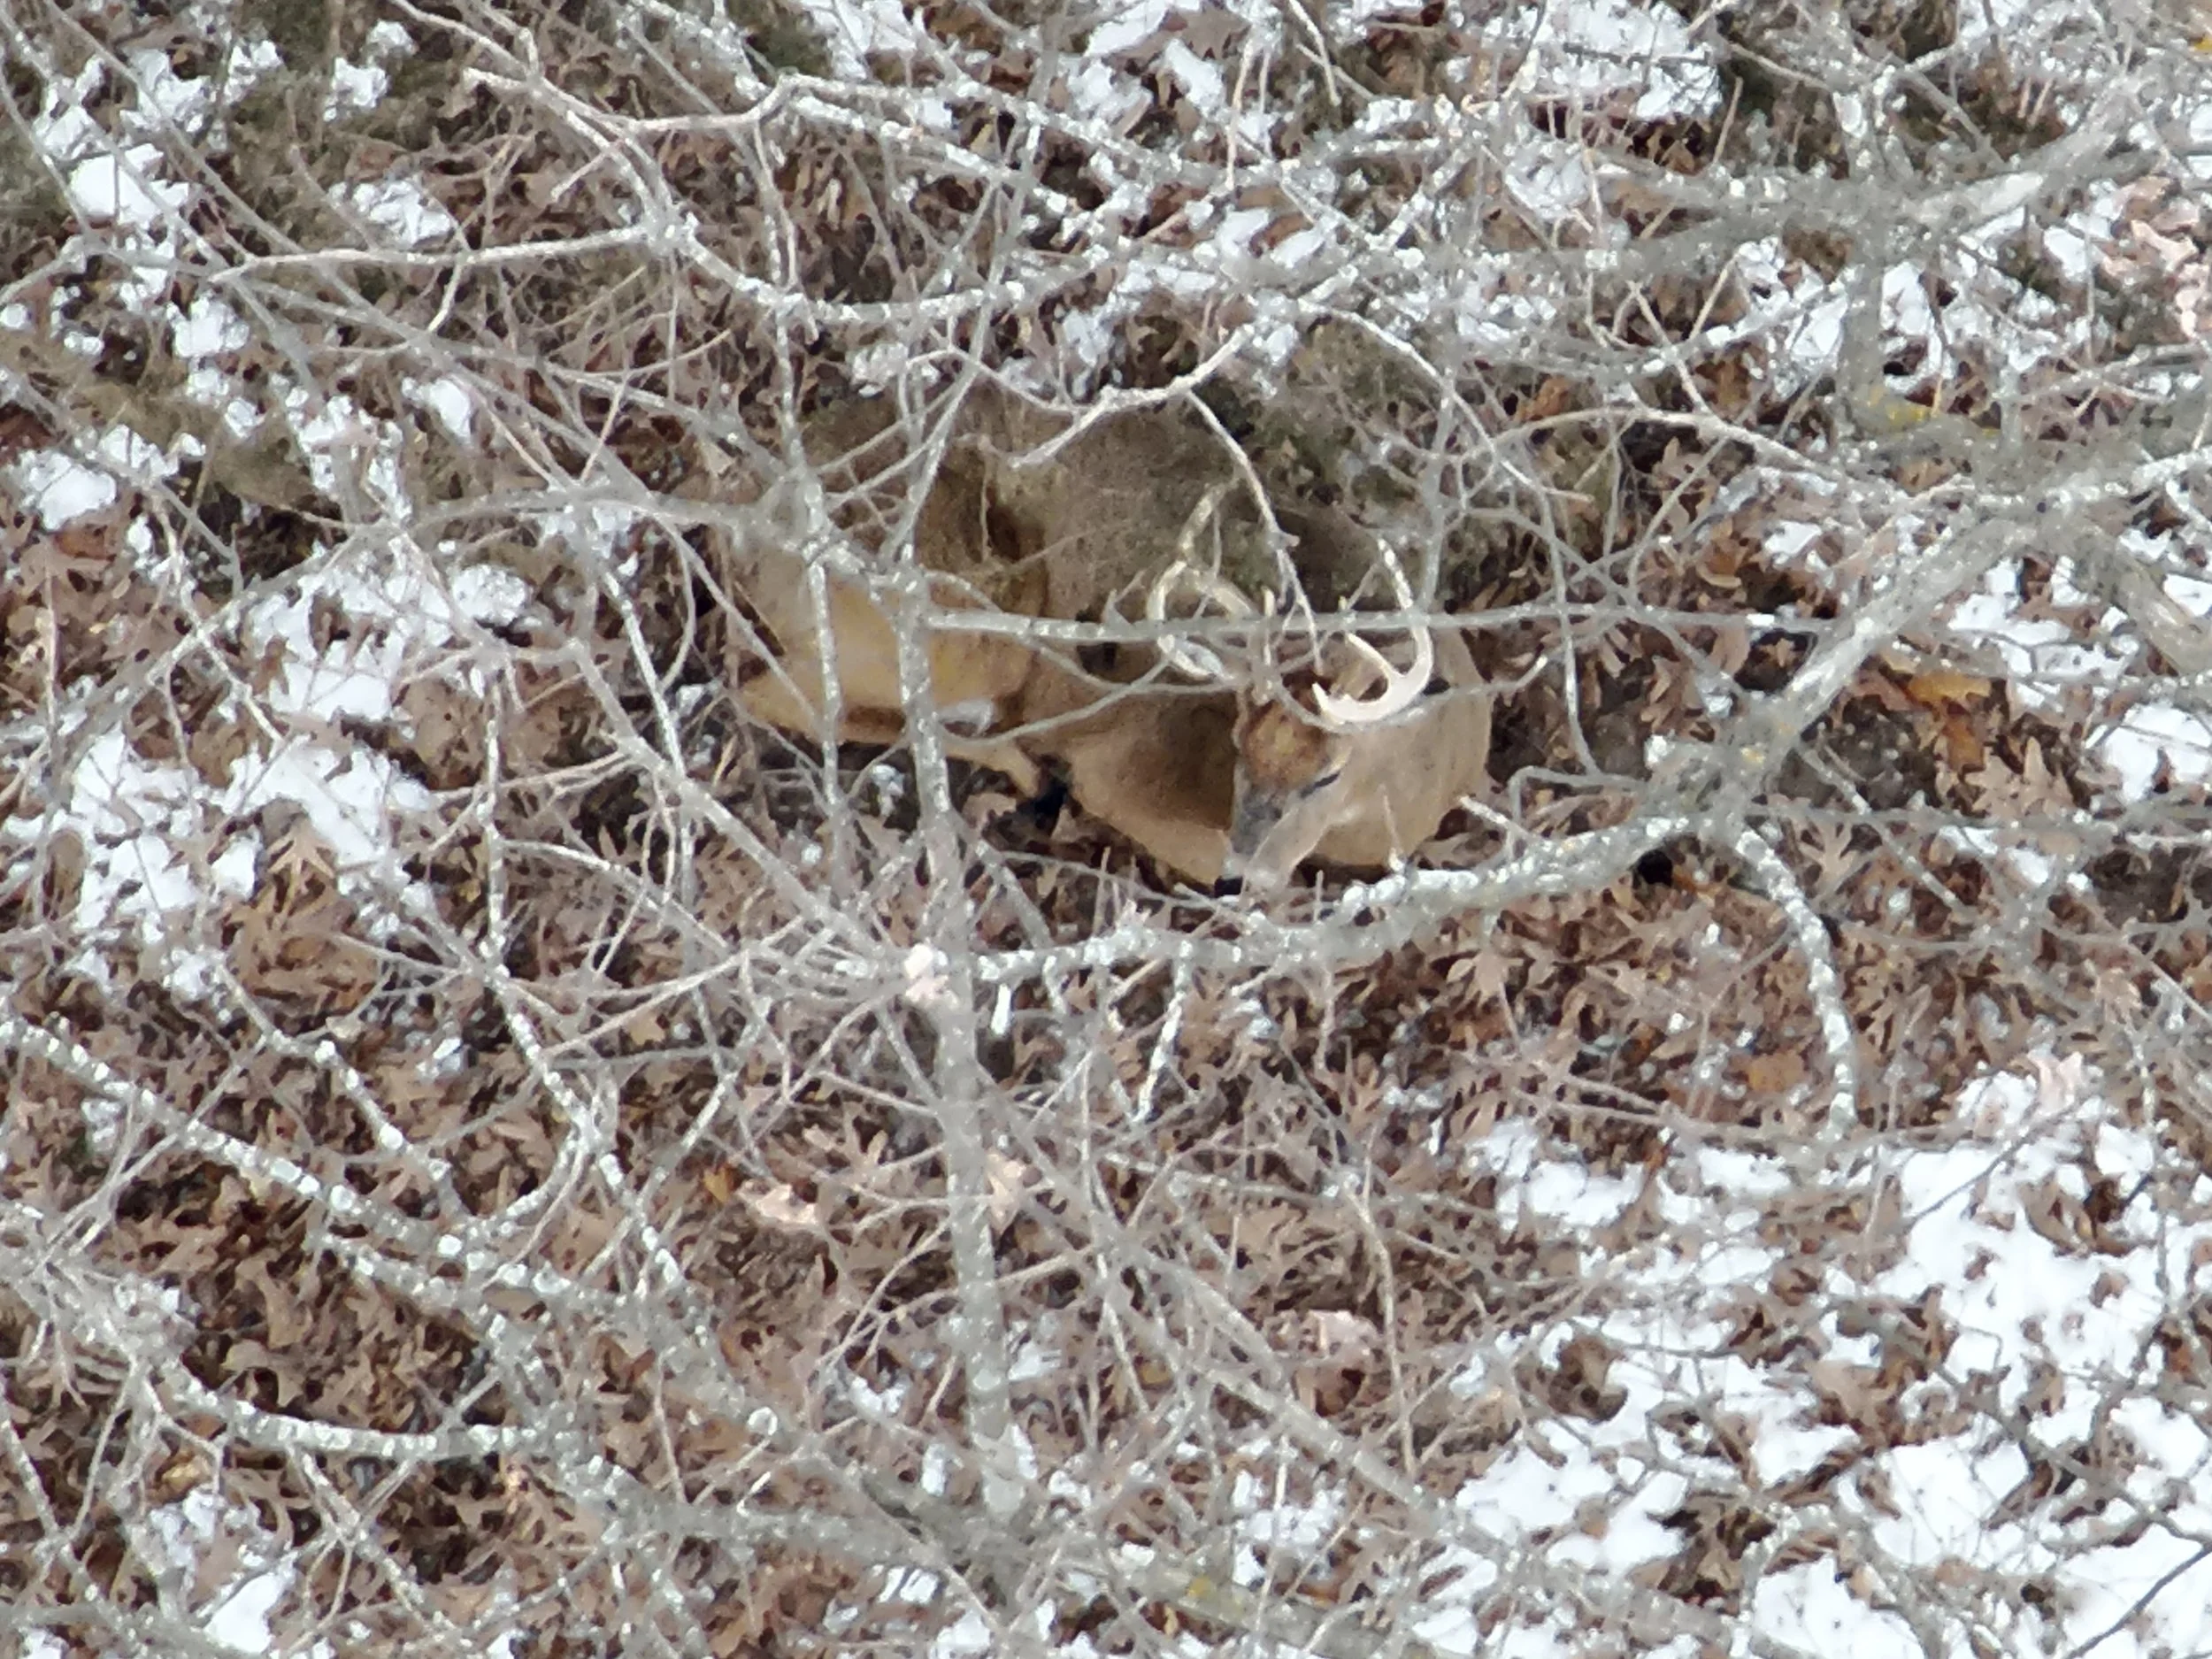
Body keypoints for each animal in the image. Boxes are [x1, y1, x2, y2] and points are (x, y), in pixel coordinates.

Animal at [720, 391, 1492, 888]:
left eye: (1329, 772)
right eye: (1238, 744)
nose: (1246, 863)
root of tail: (749, 528)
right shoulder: (1122, 773)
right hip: (965, 632)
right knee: (774, 696)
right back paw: (1026, 771)